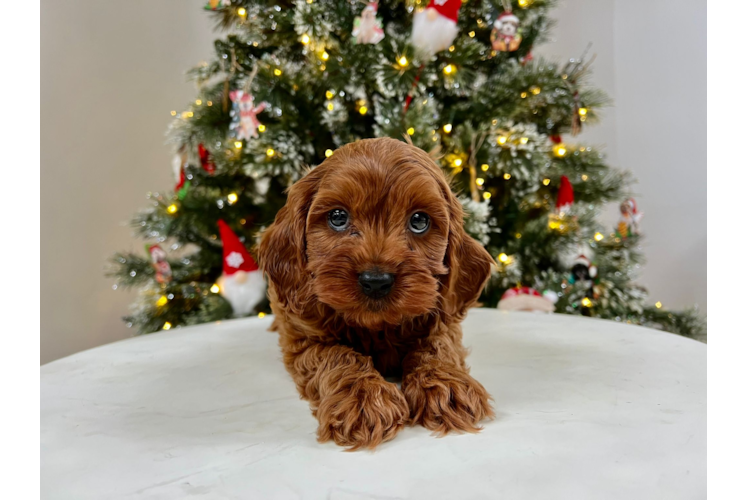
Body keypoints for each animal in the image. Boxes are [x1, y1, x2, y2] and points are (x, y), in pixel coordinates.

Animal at [258, 136, 496, 450]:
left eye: (419, 221)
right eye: (337, 217)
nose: (376, 281)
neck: (376, 327)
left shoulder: (445, 318)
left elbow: (437, 346)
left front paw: (447, 383)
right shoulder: (302, 337)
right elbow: (336, 354)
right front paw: (363, 397)